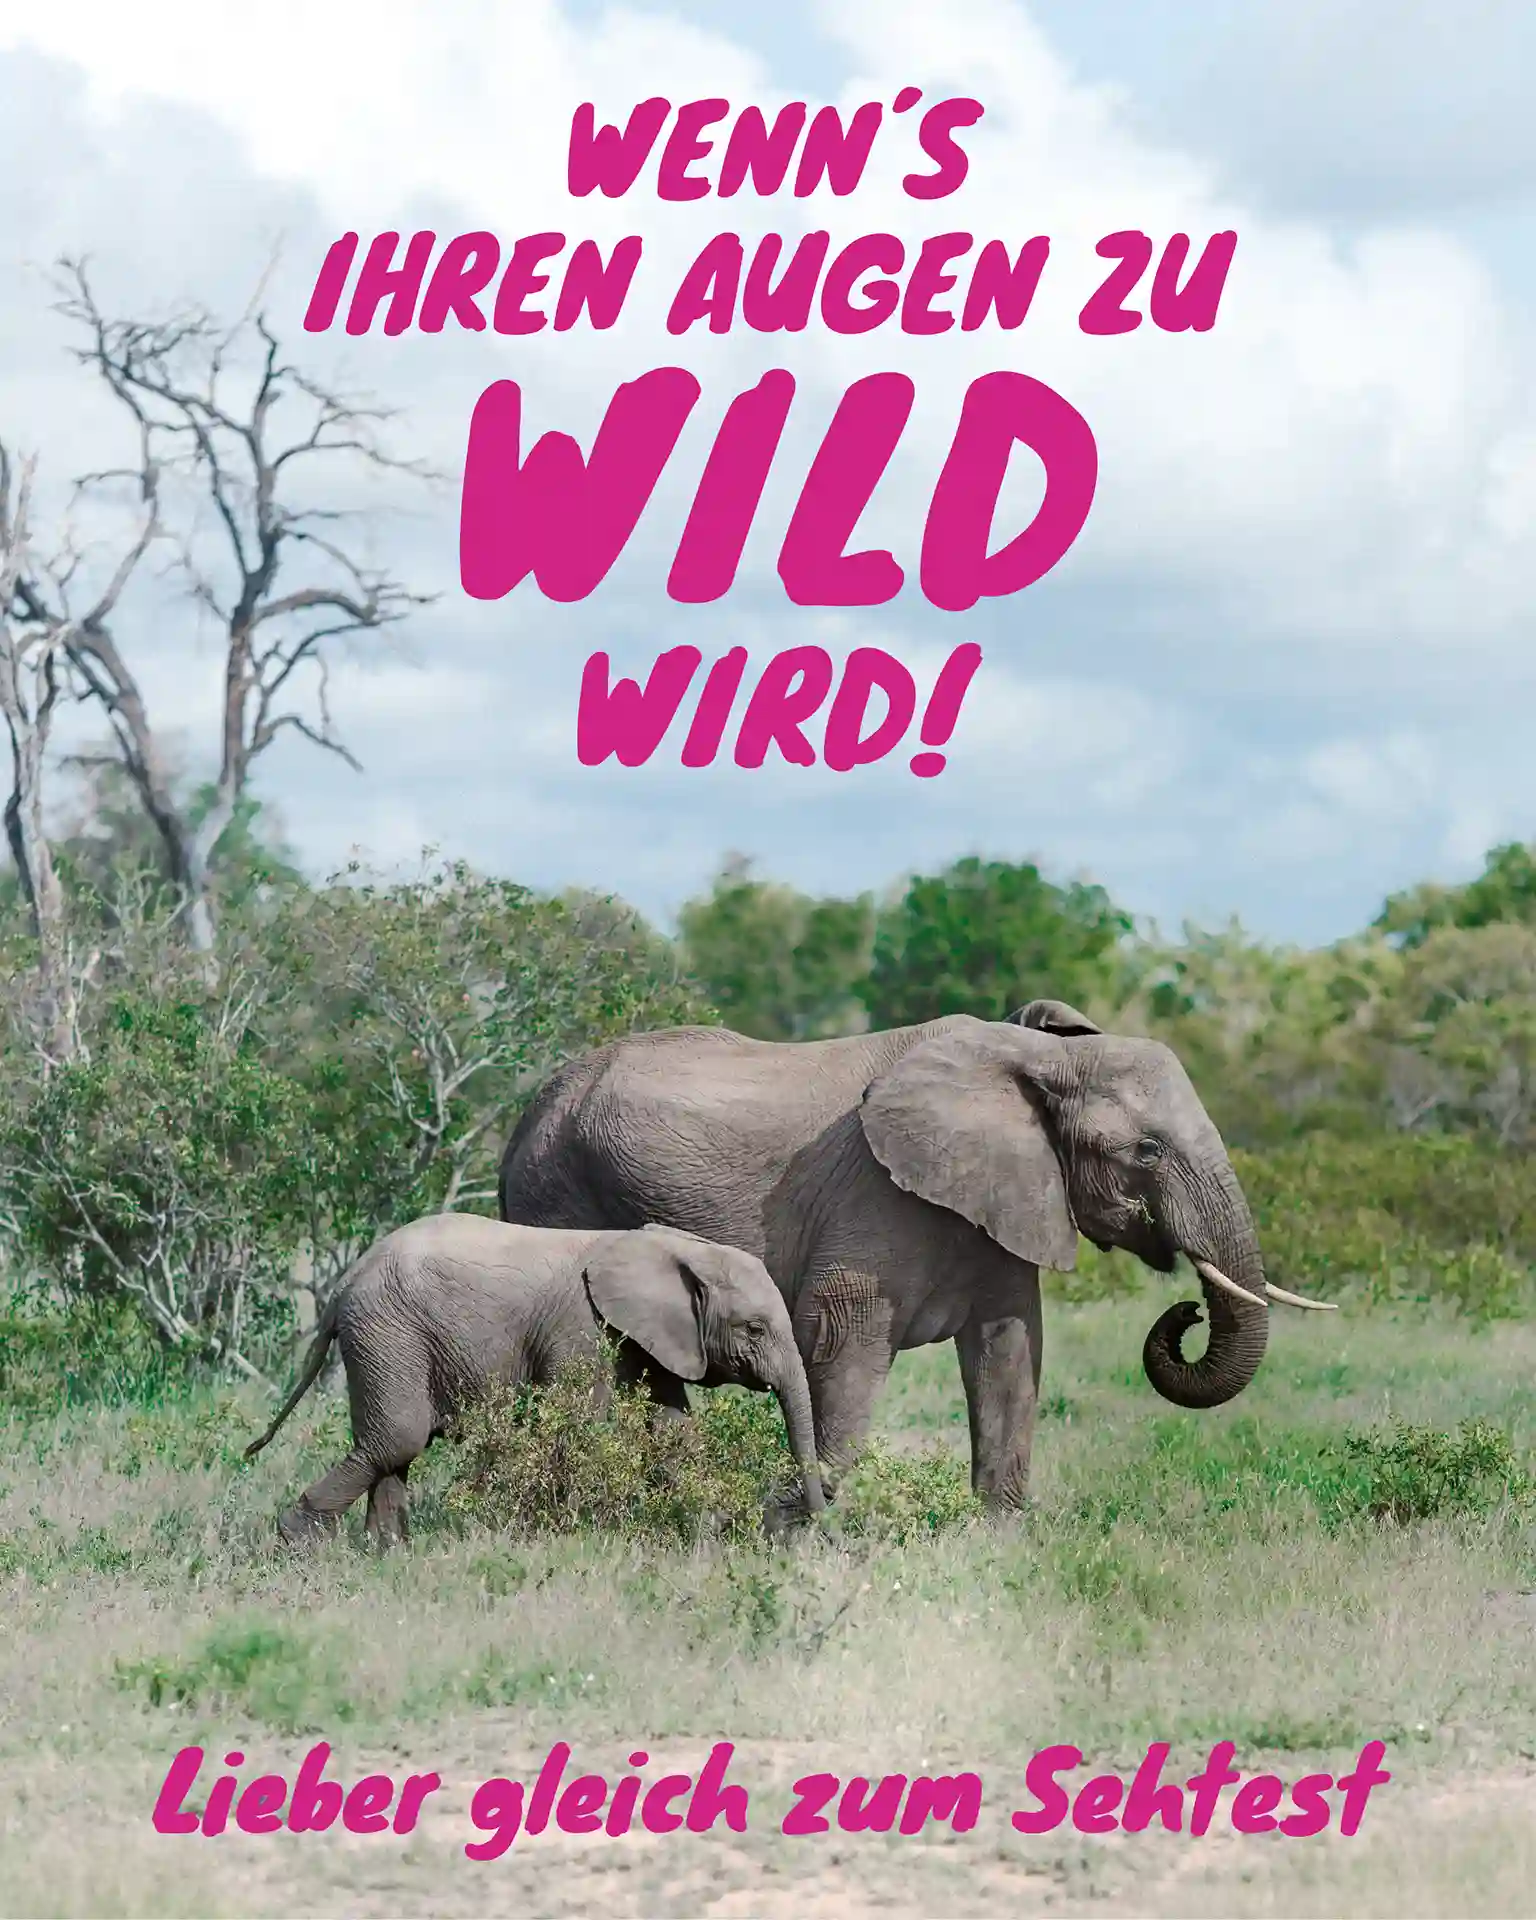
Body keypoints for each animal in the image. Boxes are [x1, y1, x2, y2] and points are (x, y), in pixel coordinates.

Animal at [242, 1215, 826, 1546]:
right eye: (754, 1329)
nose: (818, 1532)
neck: (674, 1248)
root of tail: (345, 1282)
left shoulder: (650, 1339)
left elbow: (671, 1432)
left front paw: (710, 1533)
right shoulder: (581, 1327)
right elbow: (578, 1426)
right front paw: (562, 1537)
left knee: (394, 1449)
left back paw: (387, 1555)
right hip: (388, 1331)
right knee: (396, 1439)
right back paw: (296, 1543)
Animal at [496, 998, 1335, 1514]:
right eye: (1148, 1151)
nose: (1186, 1311)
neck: (1029, 1057)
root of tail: (524, 1114)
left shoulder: (1003, 1200)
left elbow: (1011, 1353)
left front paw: (996, 1543)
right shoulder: (874, 1197)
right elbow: (838, 1343)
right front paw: (804, 1534)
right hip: (556, 1193)